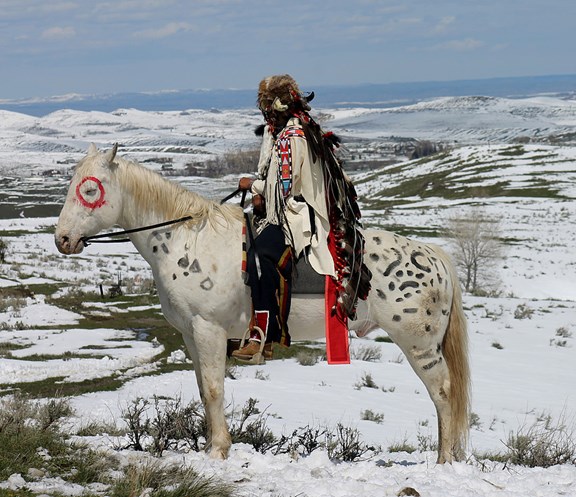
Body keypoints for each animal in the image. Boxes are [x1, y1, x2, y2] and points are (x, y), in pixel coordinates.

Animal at [54, 145, 470, 464]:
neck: (186, 240)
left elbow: (215, 389)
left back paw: (444, 460)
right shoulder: (191, 335)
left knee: (443, 393)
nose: (62, 239)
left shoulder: (209, 330)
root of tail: (433, 255)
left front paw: (218, 452)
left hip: (419, 345)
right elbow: (203, 390)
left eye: (89, 190)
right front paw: (211, 447)